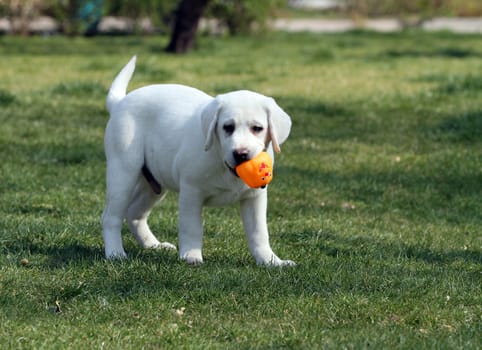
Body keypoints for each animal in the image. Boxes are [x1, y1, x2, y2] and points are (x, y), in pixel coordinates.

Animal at [101, 56, 294, 266]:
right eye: (227, 127)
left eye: (257, 128)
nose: (241, 154)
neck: (222, 163)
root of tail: (120, 103)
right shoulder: (191, 192)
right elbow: (192, 227)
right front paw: (191, 256)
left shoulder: (254, 197)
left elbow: (259, 233)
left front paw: (271, 261)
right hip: (123, 172)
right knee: (111, 216)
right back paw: (115, 253)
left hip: (154, 184)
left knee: (135, 214)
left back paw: (154, 245)